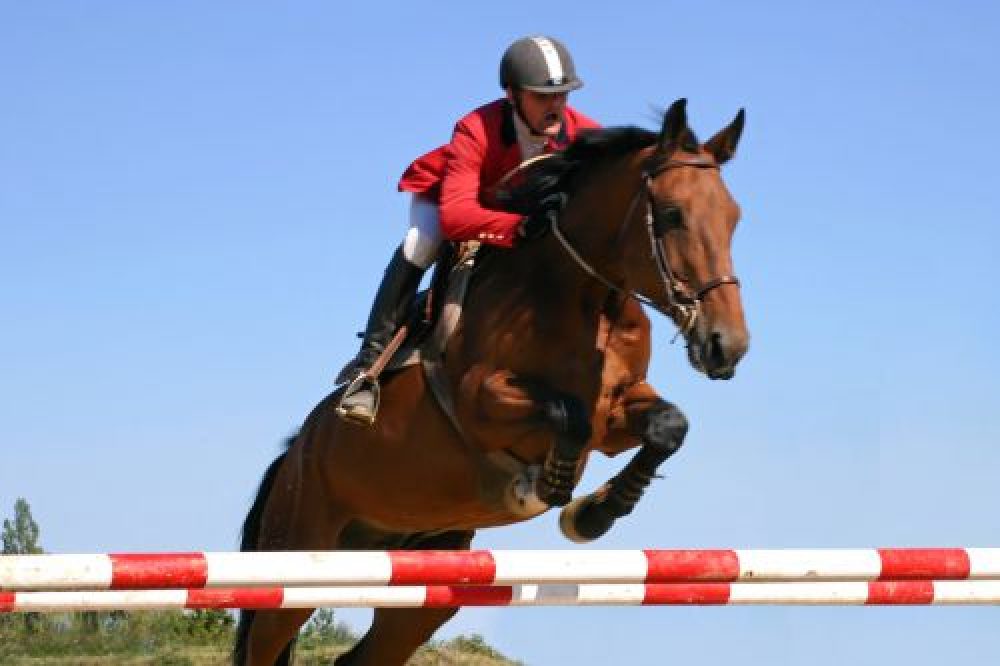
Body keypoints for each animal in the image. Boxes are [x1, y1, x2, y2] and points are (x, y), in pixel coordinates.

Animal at [233, 98, 749, 666]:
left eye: (734, 218)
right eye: (674, 215)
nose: (727, 346)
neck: (582, 297)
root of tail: (293, 454)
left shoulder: (618, 412)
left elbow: (668, 425)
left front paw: (594, 514)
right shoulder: (481, 400)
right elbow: (567, 413)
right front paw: (550, 487)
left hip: (424, 575)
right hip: (296, 560)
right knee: (265, 642)